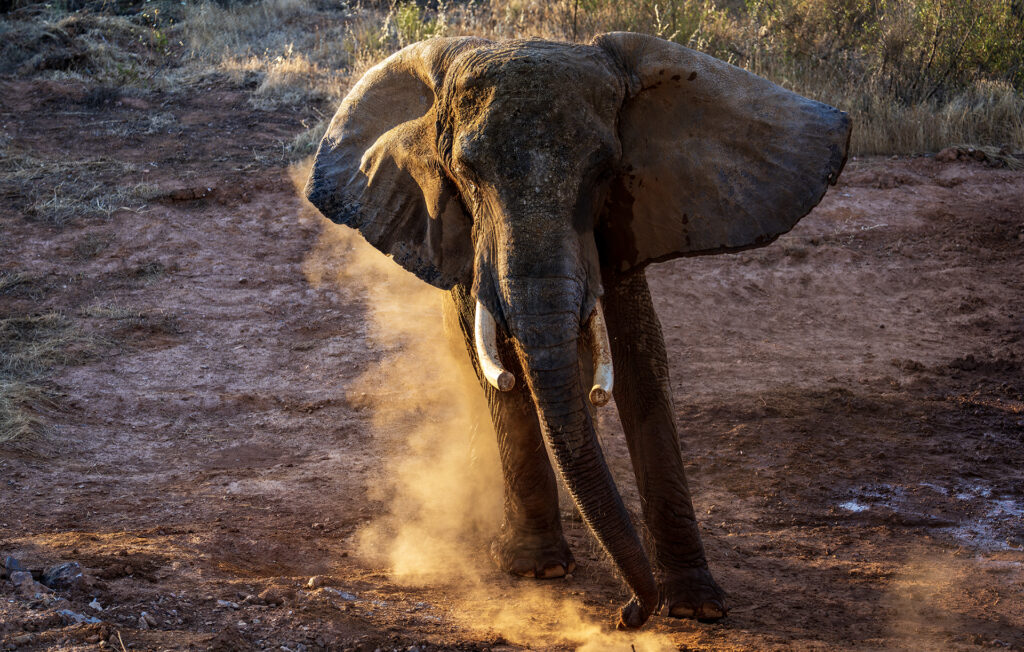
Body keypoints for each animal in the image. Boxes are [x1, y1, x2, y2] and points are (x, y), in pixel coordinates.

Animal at [305, 32, 851, 629]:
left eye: (603, 170)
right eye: (466, 173)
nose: (628, 613)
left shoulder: (630, 211)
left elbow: (642, 362)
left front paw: (697, 605)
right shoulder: (457, 233)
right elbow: (498, 365)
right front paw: (537, 569)